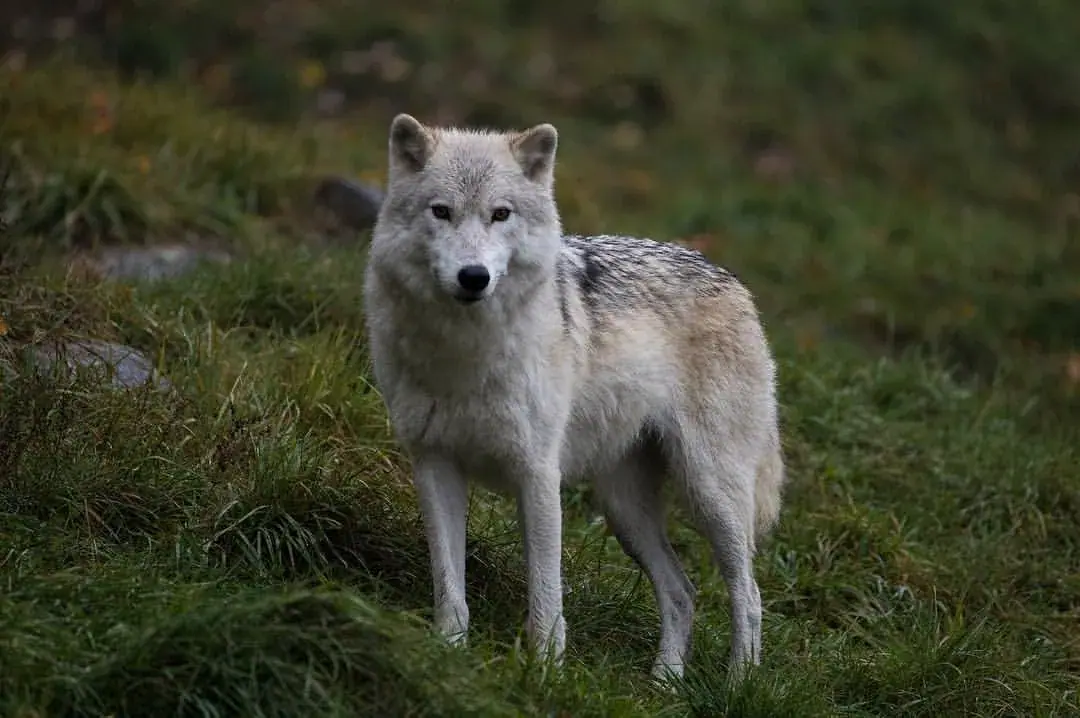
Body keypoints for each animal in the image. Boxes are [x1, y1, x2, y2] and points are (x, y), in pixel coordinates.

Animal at [362, 113, 785, 682]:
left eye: (501, 214)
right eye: (441, 211)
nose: (474, 277)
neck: (464, 354)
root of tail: (732, 281)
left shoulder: (539, 473)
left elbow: (546, 594)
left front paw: (544, 674)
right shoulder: (434, 463)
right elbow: (449, 586)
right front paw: (446, 657)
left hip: (710, 493)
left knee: (749, 595)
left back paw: (737, 684)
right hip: (624, 510)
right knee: (684, 591)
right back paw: (665, 683)